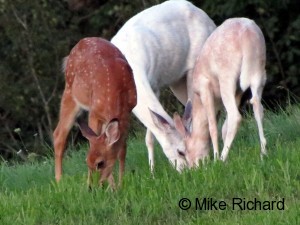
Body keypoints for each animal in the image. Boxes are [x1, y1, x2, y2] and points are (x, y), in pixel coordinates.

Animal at [53, 37, 137, 188]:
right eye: (86, 161)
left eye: (100, 163)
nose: (91, 188)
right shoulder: (94, 113)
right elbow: (92, 141)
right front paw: (111, 186)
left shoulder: (128, 112)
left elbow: (122, 149)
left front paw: (120, 184)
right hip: (70, 93)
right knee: (59, 134)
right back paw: (59, 181)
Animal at [110, 0, 216, 172]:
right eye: (180, 151)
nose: (186, 171)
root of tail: (210, 21)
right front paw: (151, 171)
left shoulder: (154, 84)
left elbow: (149, 136)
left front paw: (152, 171)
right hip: (177, 83)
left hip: (195, 67)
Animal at [173, 18, 268, 167]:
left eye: (182, 151)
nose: (193, 167)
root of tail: (248, 34)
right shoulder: (238, 92)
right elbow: (224, 127)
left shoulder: (205, 88)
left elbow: (213, 126)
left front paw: (216, 158)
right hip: (259, 73)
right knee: (258, 106)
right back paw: (263, 153)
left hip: (227, 78)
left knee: (236, 116)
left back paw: (222, 159)